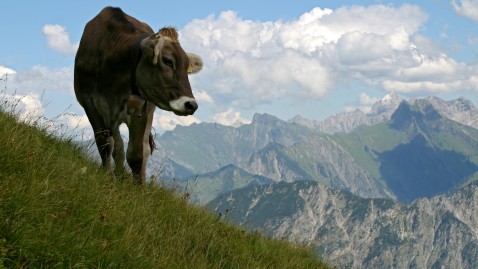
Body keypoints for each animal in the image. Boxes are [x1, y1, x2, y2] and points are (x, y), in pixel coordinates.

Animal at [74, 6, 203, 182]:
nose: (191, 105)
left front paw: (137, 187)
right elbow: (105, 145)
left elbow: (136, 155)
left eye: (186, 66)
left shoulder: (141, 110)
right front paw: (107, 176)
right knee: (118, 145)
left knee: (142, 149)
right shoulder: (89, 104)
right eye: (168, 60)